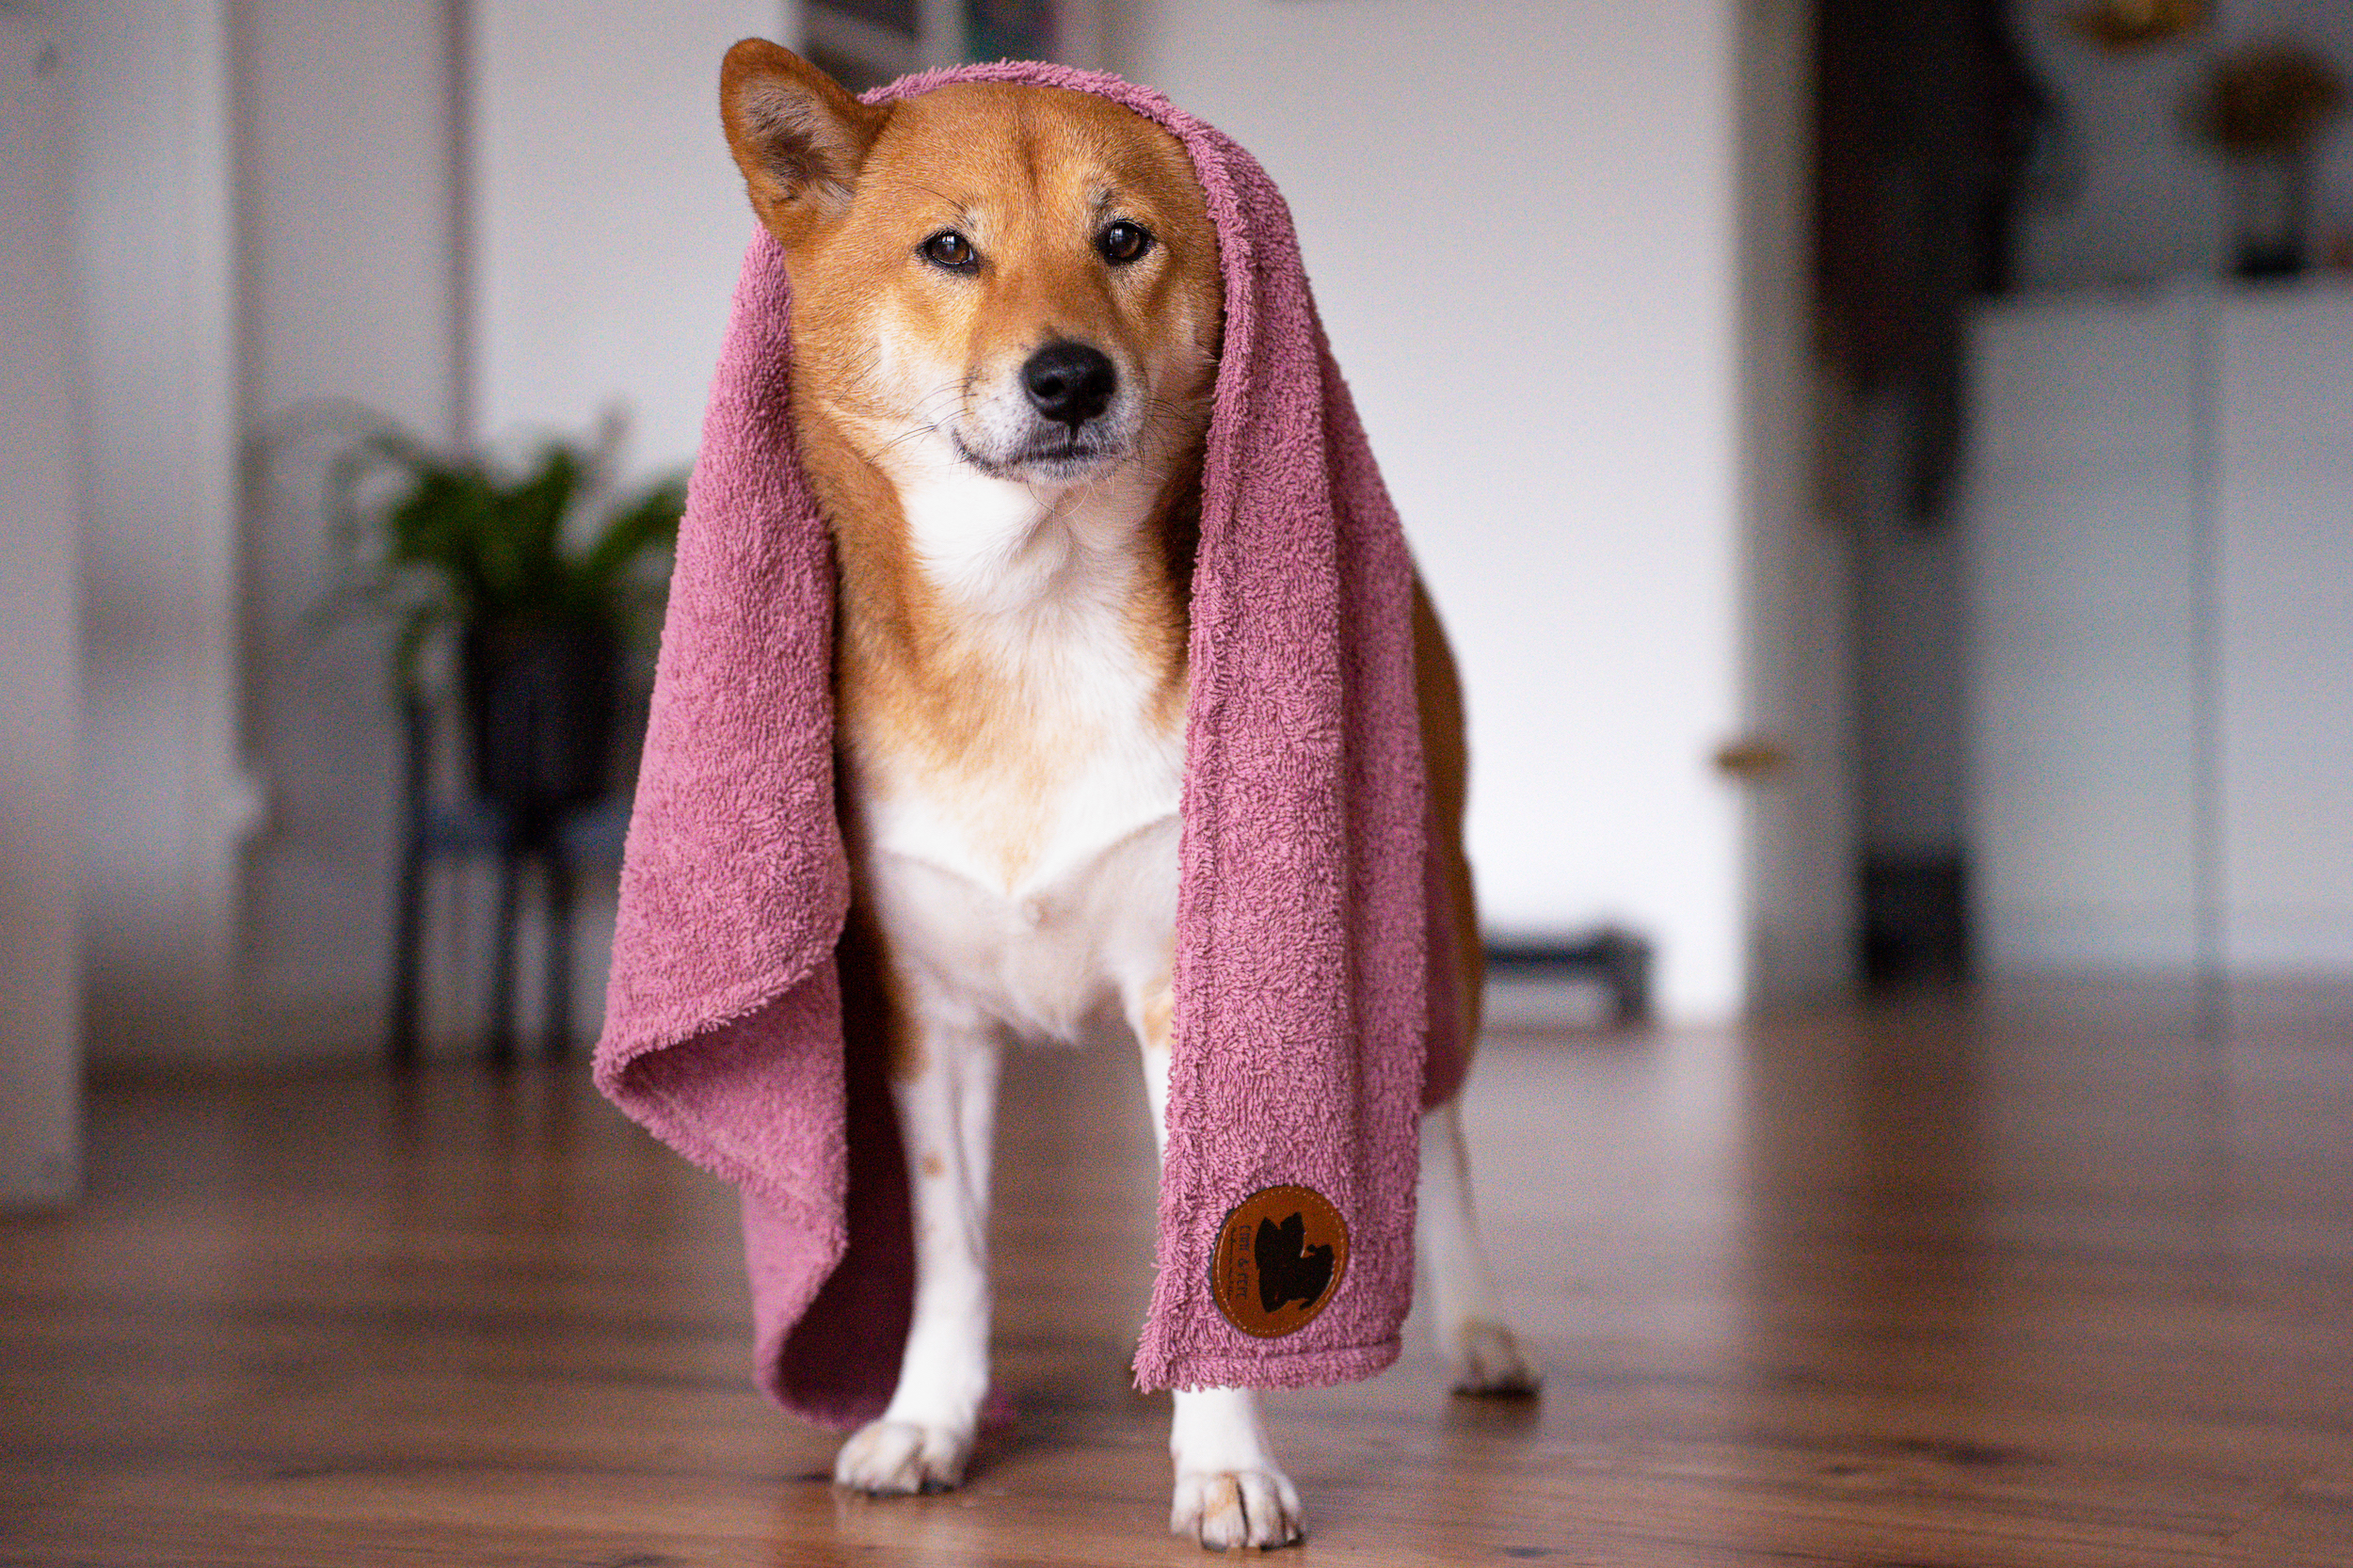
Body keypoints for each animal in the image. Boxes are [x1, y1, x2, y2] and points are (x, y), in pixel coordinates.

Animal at [715, 42, 1534, 1544]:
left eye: (1122, 240)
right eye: (950, 248)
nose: (1068, 377)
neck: (1028, 624)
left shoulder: (1203, 982)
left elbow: (1231, 1227)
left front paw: (1225, 1462)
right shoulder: (929, 1018)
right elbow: (954, 1253)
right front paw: (928, 1420)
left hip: (1429, 925)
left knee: (1438, 1134)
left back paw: (1483, 1331)